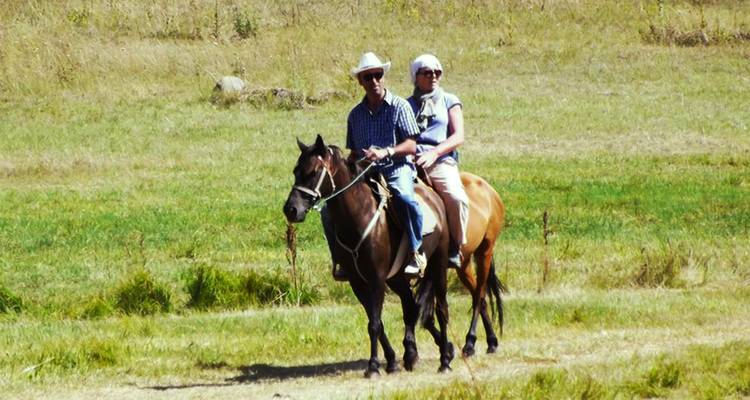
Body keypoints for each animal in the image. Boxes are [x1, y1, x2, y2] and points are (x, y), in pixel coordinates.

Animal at [283, 135, 455, 377]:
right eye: (296, 171)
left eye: (314, 171)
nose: (291, 209)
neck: (359, 215)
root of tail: (433, 196)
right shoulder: (358, 281)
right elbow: (376, 322)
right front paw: (390, 361)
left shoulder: (376, 279)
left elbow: (374, 323)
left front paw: (373, 366)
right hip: (397, 278)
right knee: (411, 307)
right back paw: (415, 354)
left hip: (437, 265)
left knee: (441, 310)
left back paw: (445, 361)